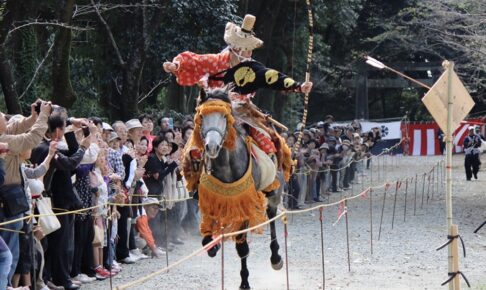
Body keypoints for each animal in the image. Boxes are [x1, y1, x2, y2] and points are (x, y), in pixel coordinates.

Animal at [197, 88, 282, 290]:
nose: (211, 147)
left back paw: (276, 258)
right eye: (201, 116)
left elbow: (242, 247)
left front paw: (244, 283)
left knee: (272, 215)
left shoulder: (244, 204)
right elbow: (207, 239)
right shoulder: (210, 201)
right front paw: (213, 245)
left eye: (225, 116)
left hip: (273, 188)